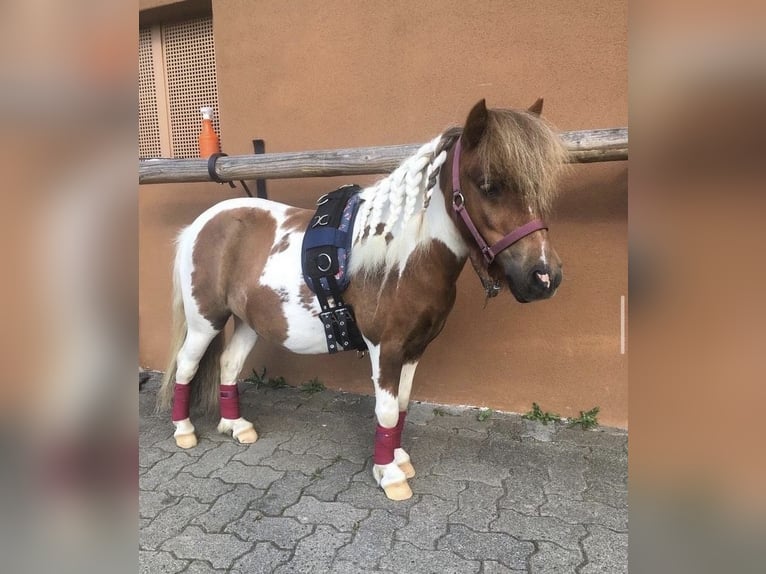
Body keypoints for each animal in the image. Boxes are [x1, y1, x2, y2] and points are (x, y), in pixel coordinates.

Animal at [159, 99, 568, 500]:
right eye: (488, 185)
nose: (544, 277)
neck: (403, 259)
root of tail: (200, 225)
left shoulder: (415, 349)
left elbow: (401, 406)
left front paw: (399, 459)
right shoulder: (385, 348)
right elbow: (385, 410)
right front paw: (390, 476)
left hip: (247, 321)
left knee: (228, 364)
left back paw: (236, 425)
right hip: (205, 322)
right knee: (186, 367)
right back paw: (184, 431)